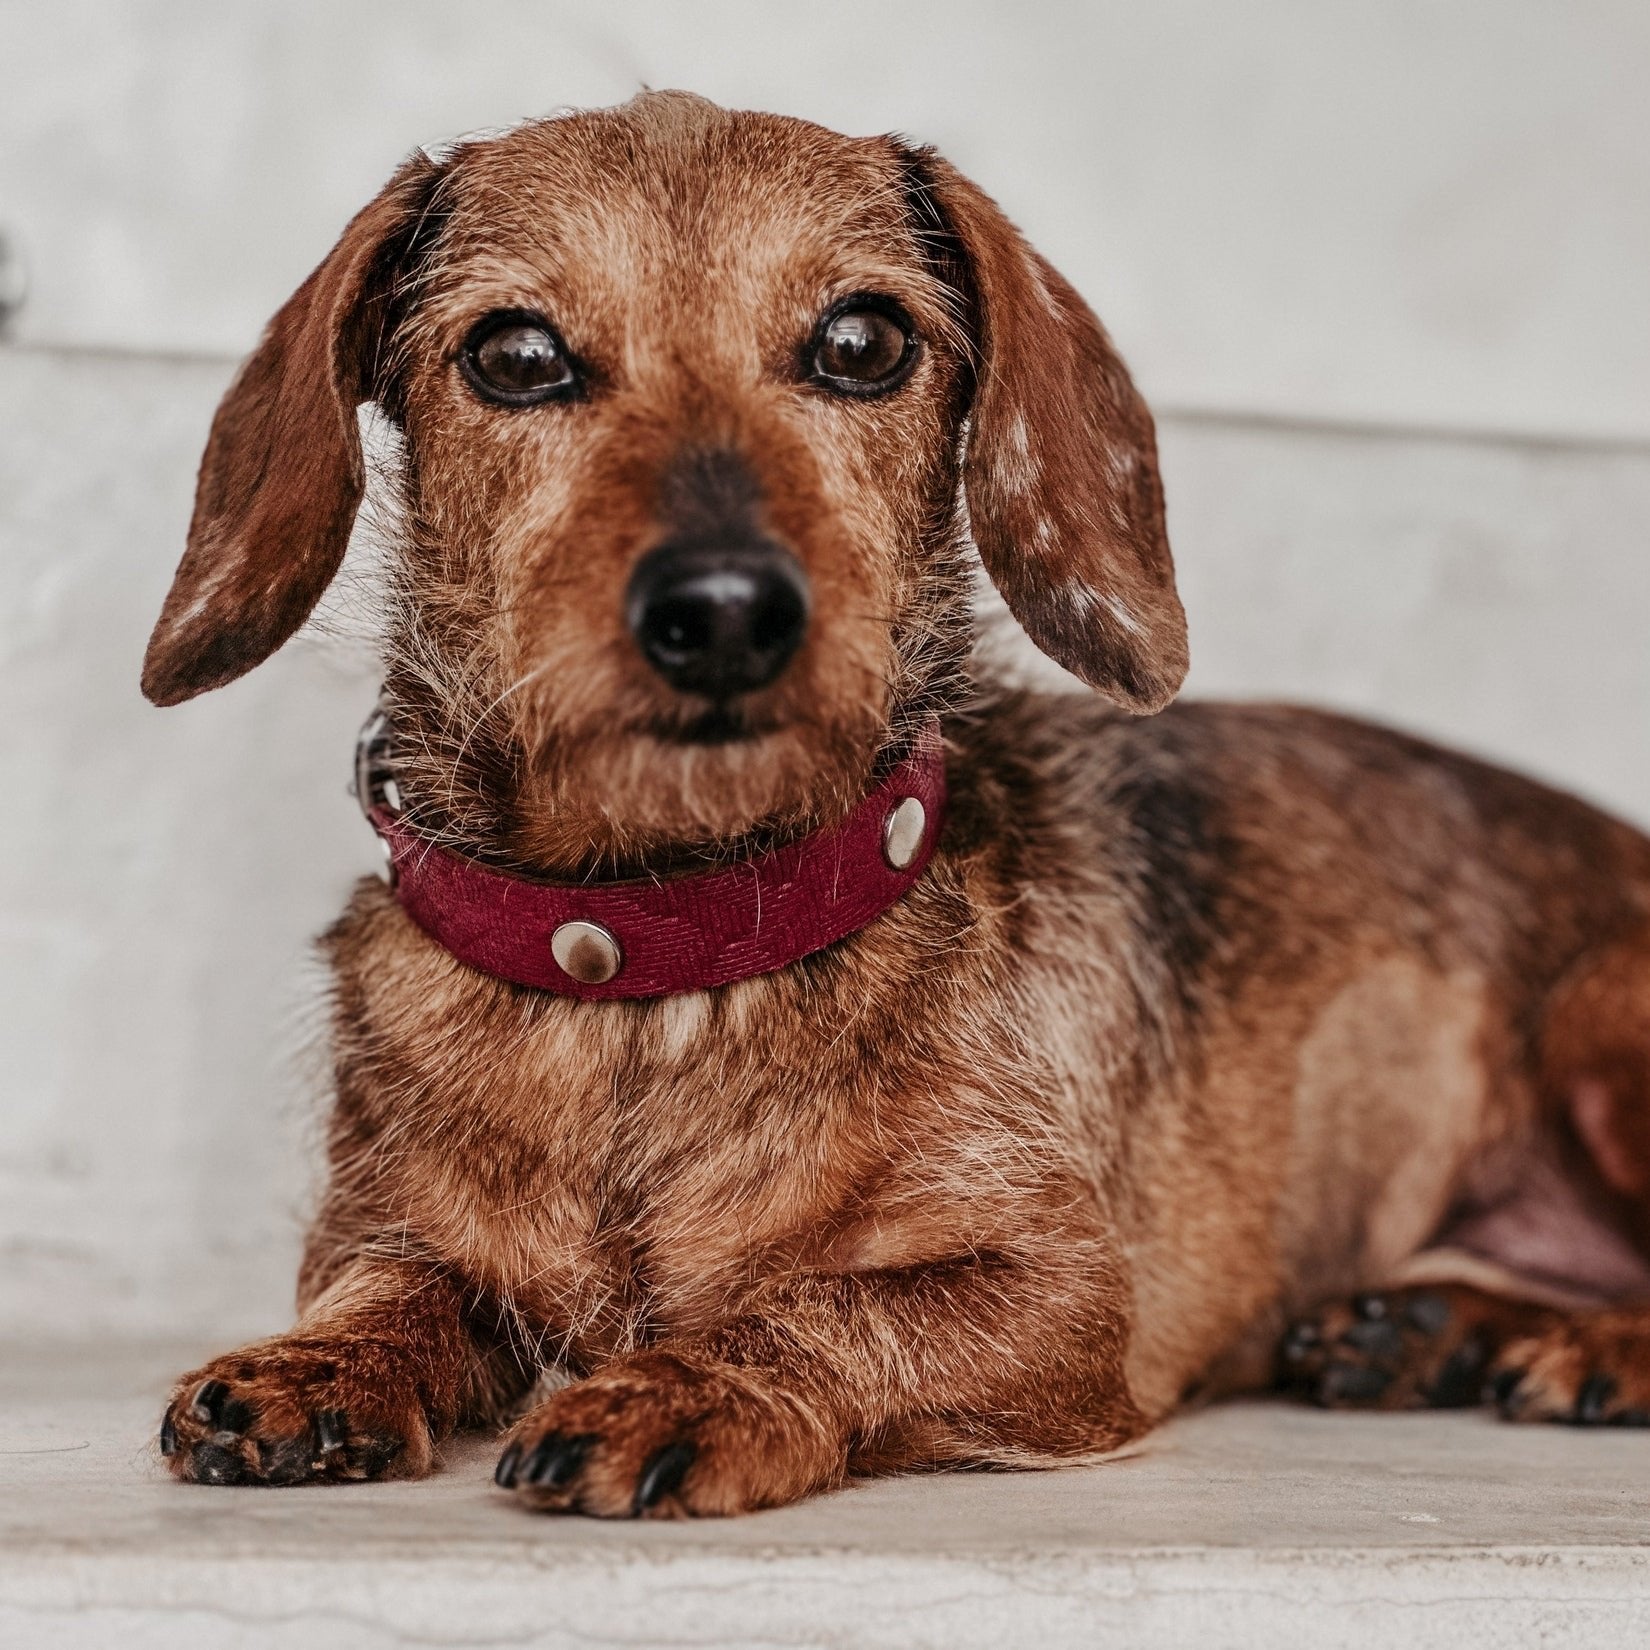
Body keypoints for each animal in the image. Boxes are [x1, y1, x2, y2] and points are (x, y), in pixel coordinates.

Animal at [138, 87, 1650, 1511]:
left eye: (861, 342)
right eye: (515, 355)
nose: (724, 611)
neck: (658, 964)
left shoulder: (1062, 1297)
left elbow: (822, 1304)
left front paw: (682, 1385)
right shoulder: (374, 1230)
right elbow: (396, 1285)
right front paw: (314, 1367)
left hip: (1596, 1021)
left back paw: (1579, 1354)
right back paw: (1427, 1331)